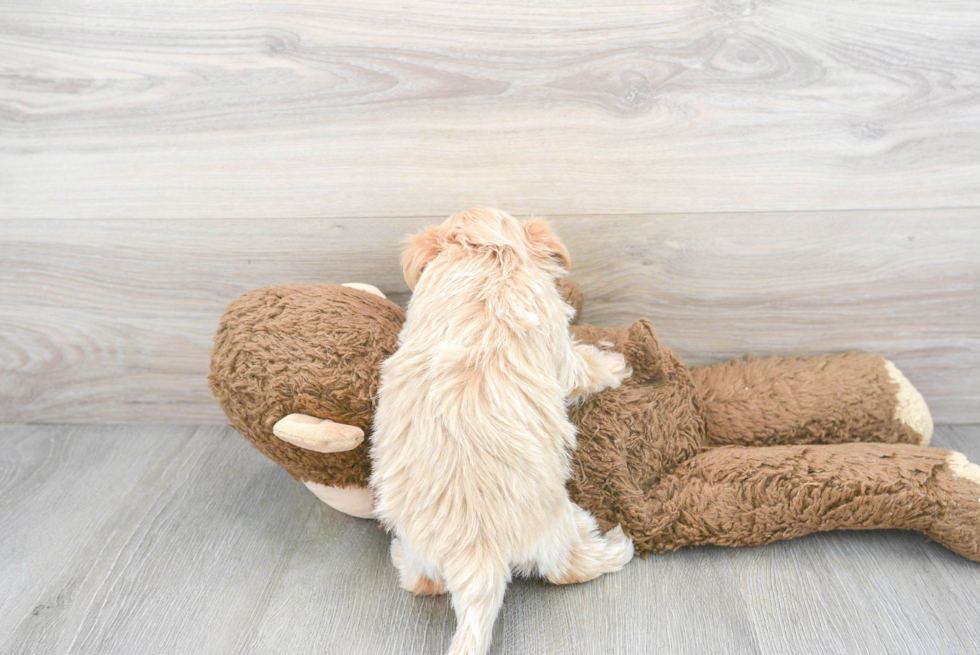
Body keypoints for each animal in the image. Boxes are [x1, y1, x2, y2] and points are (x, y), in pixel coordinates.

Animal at [370, 208, 636, 652]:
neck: (485, 254)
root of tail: (476, 553)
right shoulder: (557, 342)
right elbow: (581, 367)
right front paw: (613, 366)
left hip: (421, 548)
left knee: (423, 583)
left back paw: (401, 560)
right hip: (554, 529)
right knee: (567, 568)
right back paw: (615, 547)